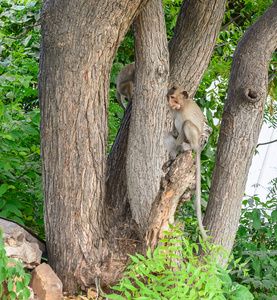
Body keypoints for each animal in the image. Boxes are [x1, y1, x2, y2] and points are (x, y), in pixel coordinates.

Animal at [165, 85, 206, 240]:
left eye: (173, 97)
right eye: (169, 97)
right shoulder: (173, 111)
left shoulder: (184, 112)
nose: (170, 103)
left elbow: (183, 127)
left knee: (187, 125)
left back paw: (186, 148)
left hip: (194, 138)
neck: (180, 106)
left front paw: (174, 150)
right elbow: (174, 128)